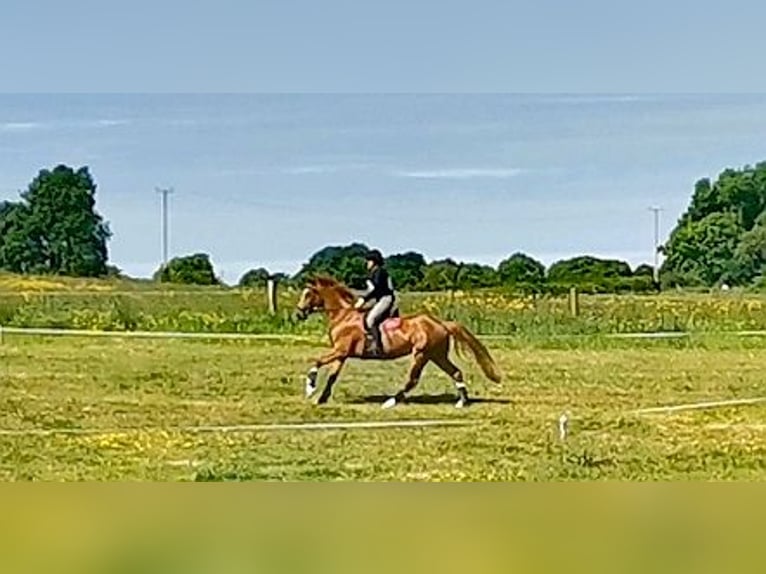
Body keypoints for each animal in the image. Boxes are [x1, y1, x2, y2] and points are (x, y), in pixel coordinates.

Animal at [296, 278, 504, 410]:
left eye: (308, 294)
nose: (298, 314)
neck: (344, 315)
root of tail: (441, 323)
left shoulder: (340, 350)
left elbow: (317, 361)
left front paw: (310, 388)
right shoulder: (342, 354)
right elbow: (332, 376)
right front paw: (321, 399)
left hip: (421, 354)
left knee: (412, 380)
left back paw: (390, 402)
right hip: (436, 355)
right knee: (456, 372)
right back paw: (462, 402)